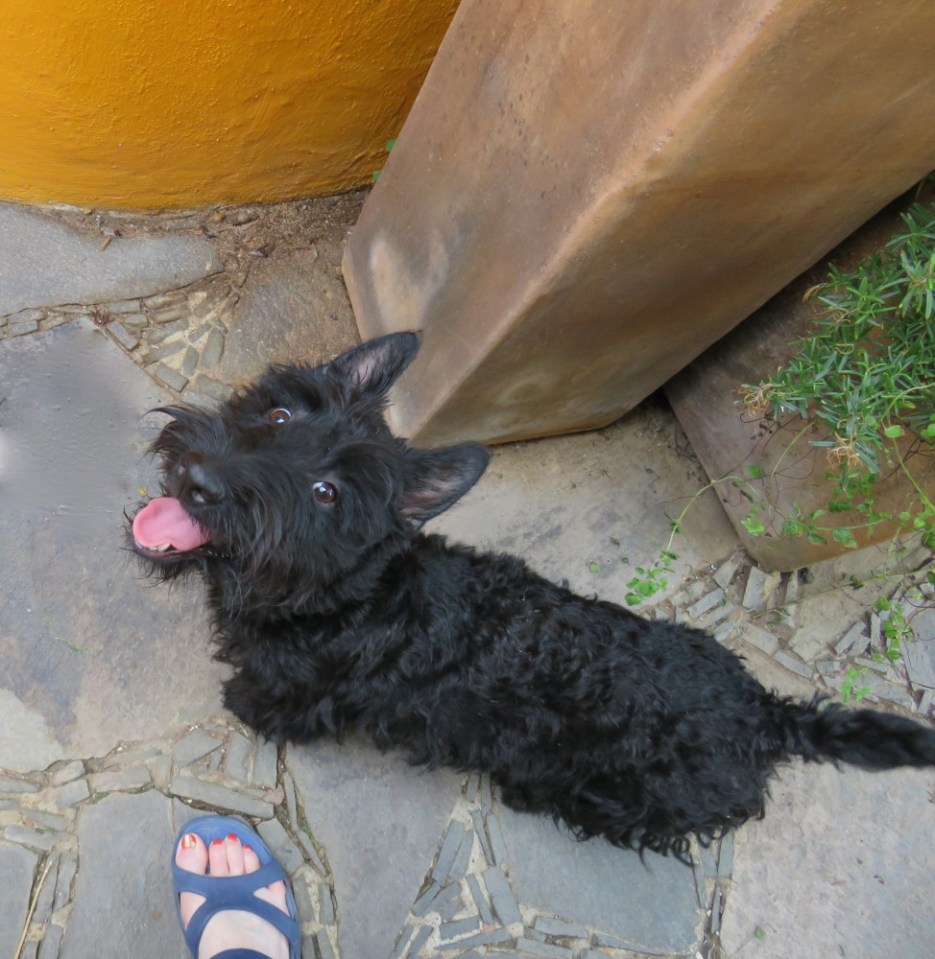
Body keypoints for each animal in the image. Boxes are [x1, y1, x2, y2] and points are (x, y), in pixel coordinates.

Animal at [131, 332, 935, 857]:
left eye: (327, 492)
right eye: (279, 414)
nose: (199, 480)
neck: (348, 596)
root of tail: (768, 715)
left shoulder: (300, 696)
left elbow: (262, 703)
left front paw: (237, 702)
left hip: (625, 798)